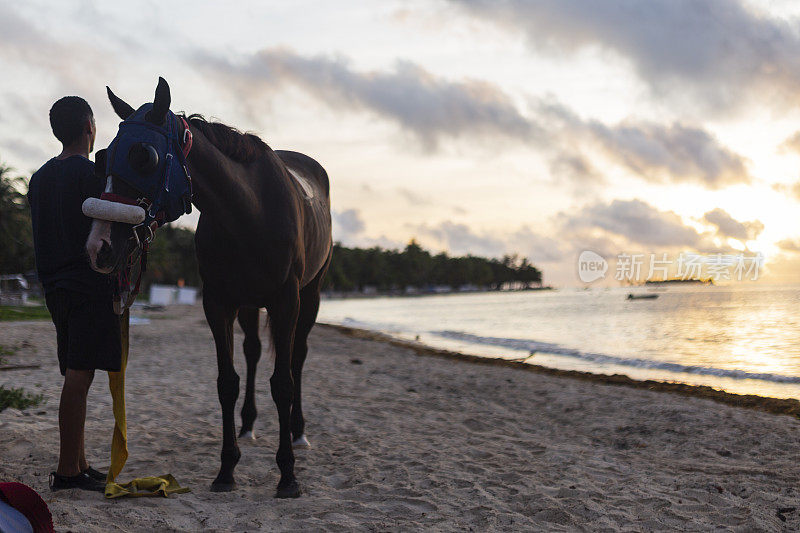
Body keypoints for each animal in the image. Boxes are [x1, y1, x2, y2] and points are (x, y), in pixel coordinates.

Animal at [86, 77, 334, 496]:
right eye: (103, 157)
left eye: (144, 156)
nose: (98, 245)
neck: (250, 211)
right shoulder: (219, 303)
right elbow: (227, 383)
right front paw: (227, 469)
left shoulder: (286, 301)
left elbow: (283, 383)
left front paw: (287, 474)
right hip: (250, 304)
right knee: (252, 352)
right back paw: (247, 425)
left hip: (310, 296)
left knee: (297, 357)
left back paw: (298, 433)